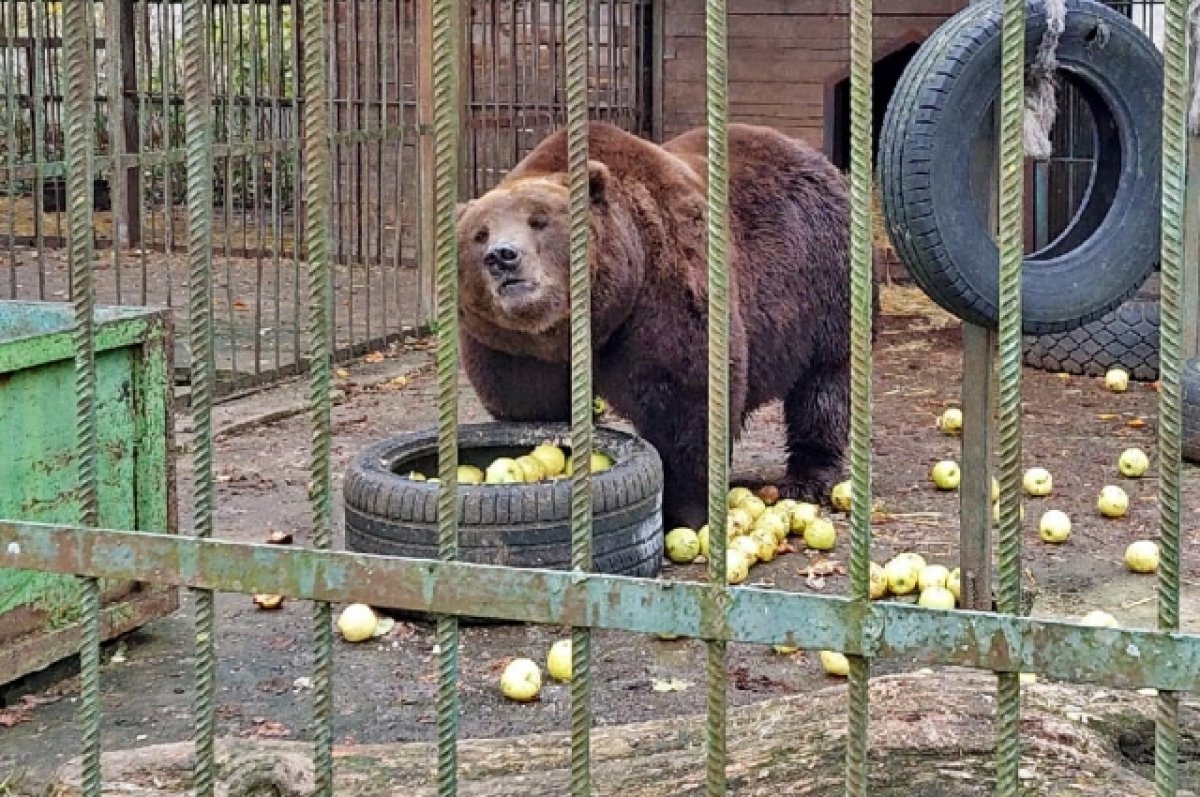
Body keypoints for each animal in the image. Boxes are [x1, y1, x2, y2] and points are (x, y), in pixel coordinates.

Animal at [456, 121, 873, 532]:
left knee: (823, 385)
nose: (502, 256)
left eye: (539, 221)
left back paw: (809, 477)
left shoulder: (664, 288)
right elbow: (529, 405)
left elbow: (684, 404)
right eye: (479, 234)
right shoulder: (515, 350)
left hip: (822, 282)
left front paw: (683, 511)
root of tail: (824, 163)